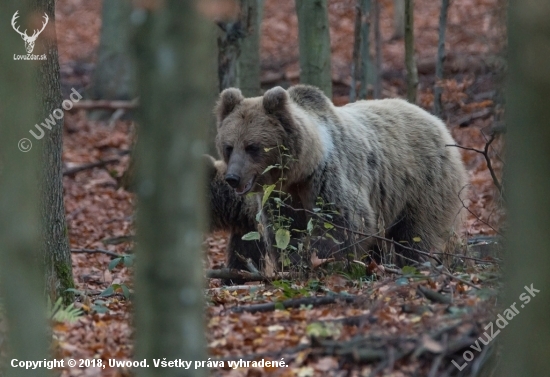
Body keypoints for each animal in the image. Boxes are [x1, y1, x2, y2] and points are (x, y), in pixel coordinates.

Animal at [213, 85, 468, 272]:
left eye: (252, 147)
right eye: (229, 147)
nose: (233, 178)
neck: (302, 169)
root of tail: (437, 121)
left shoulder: (326, 179)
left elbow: (342, 224)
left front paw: (323, 263)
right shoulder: (281, 195)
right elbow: (284, 231)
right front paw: (293, 264)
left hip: (422, 183)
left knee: (417, 233)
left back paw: (416, 263)